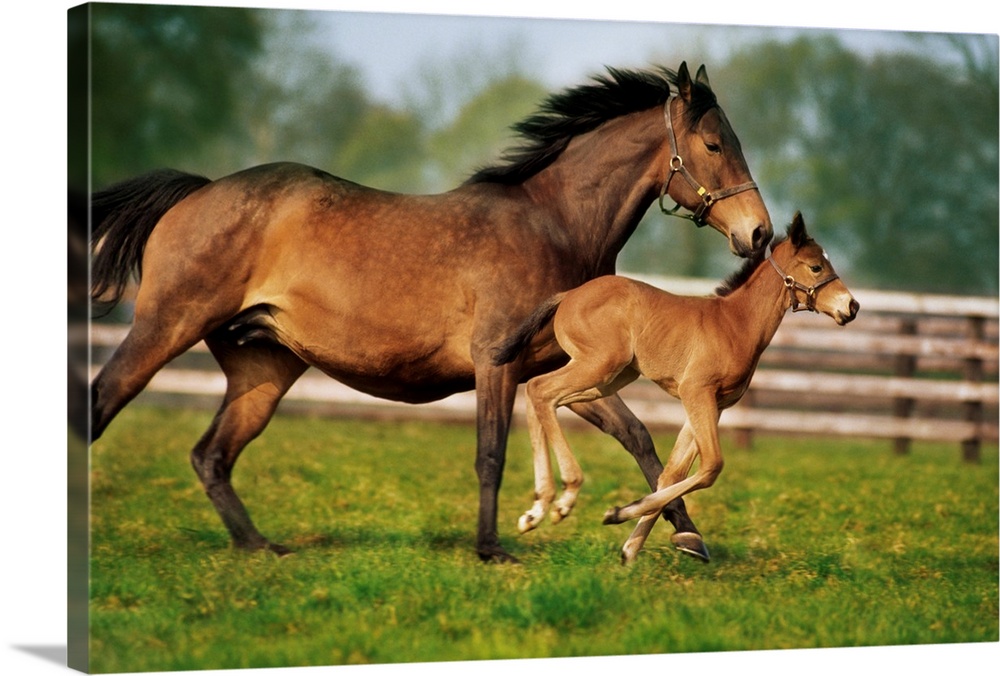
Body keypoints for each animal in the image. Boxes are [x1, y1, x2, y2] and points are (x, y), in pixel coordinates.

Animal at [89, 62, 772, 563]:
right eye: (714, 144)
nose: (759, 234)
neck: (554, 225)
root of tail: (199, 190)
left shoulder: (569, 369)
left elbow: (641, 442)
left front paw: (686, 536)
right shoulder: (498, 361)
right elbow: (491, 453)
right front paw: (495, 547)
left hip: (262, 369)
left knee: (212, 455)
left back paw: (261, 548)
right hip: (166, 327)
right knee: (102, 402)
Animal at [493, 212, 858, 564]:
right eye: (816, 266)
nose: (851, 306)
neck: (735, 324)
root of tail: (568, 295)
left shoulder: (714, 404)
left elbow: (671, 474)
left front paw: (631, 548)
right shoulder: (696, 392)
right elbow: (711, 467)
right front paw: (618, 513)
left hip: (609, 379)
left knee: (541, 394)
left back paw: (538, 508)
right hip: (598, 365)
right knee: (541, 389)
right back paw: (563, 497)